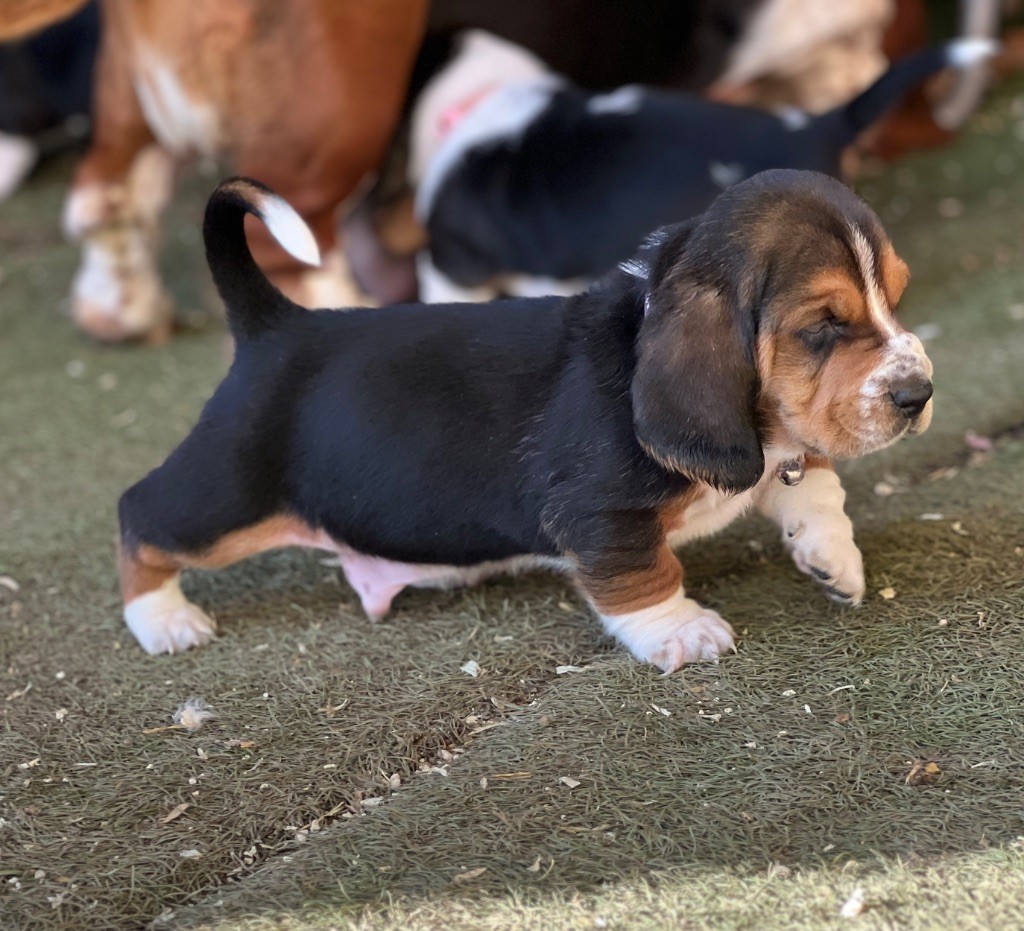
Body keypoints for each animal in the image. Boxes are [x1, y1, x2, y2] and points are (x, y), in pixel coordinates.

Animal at [116, 171, 933, 671]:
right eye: (823, 326)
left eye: (896, 297)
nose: (918, 393)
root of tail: (273, 325)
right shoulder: (601, 513)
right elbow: (643, 572)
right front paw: (681, 631)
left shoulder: (784, 448)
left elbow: (813, 485)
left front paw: (833, 559)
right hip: (224, 496)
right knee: (139, 515)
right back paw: (164, 620)